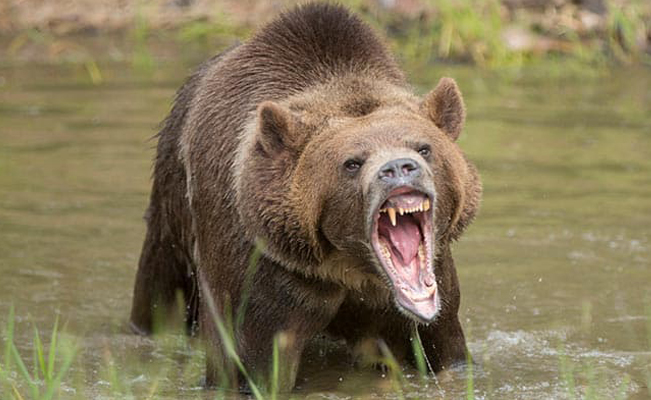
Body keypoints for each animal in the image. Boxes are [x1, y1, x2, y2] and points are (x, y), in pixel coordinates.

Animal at [129, 2, 481, 392]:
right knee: (161, 289)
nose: (399, 168)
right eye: (352, 162)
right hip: (173, 210)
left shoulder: (430, 291)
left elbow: (444, 347)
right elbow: (251, 362)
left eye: (423, 147)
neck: (350, 266)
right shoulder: (266, 274)